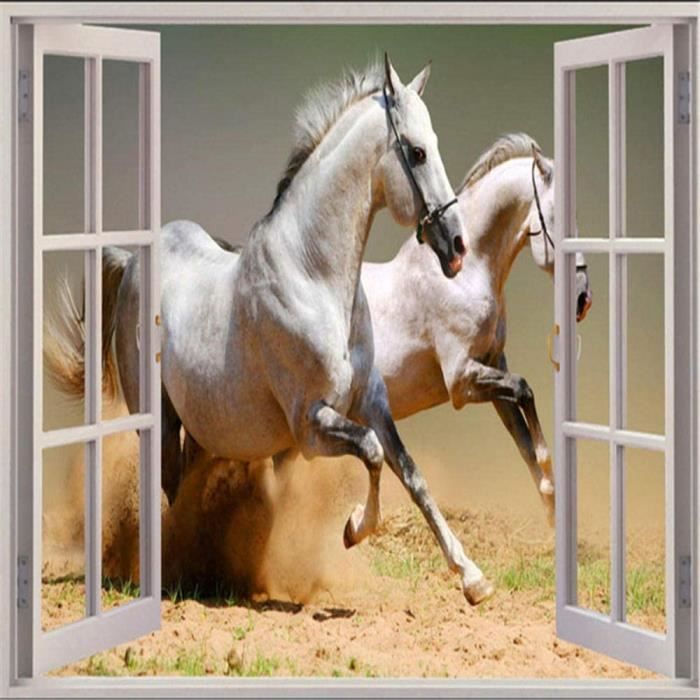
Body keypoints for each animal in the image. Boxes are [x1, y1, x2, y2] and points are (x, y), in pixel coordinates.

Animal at [46, 56, 497, 605]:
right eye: (416, 151)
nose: (455, 245)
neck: (314, 277)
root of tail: (132, 260)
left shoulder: (371, 401)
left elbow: (410, 473)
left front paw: (473, 578)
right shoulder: (311, 425)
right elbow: (371, 453)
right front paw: (353, 529)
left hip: (200, 425)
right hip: (158, 416)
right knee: (168, 485)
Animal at [362, 134, 592, 527]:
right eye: (558, 219)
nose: (583, 300)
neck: (466, 274)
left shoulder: (492, 365)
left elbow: (523, 438)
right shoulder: (461, 382)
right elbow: (525, 390)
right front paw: (550, 471)